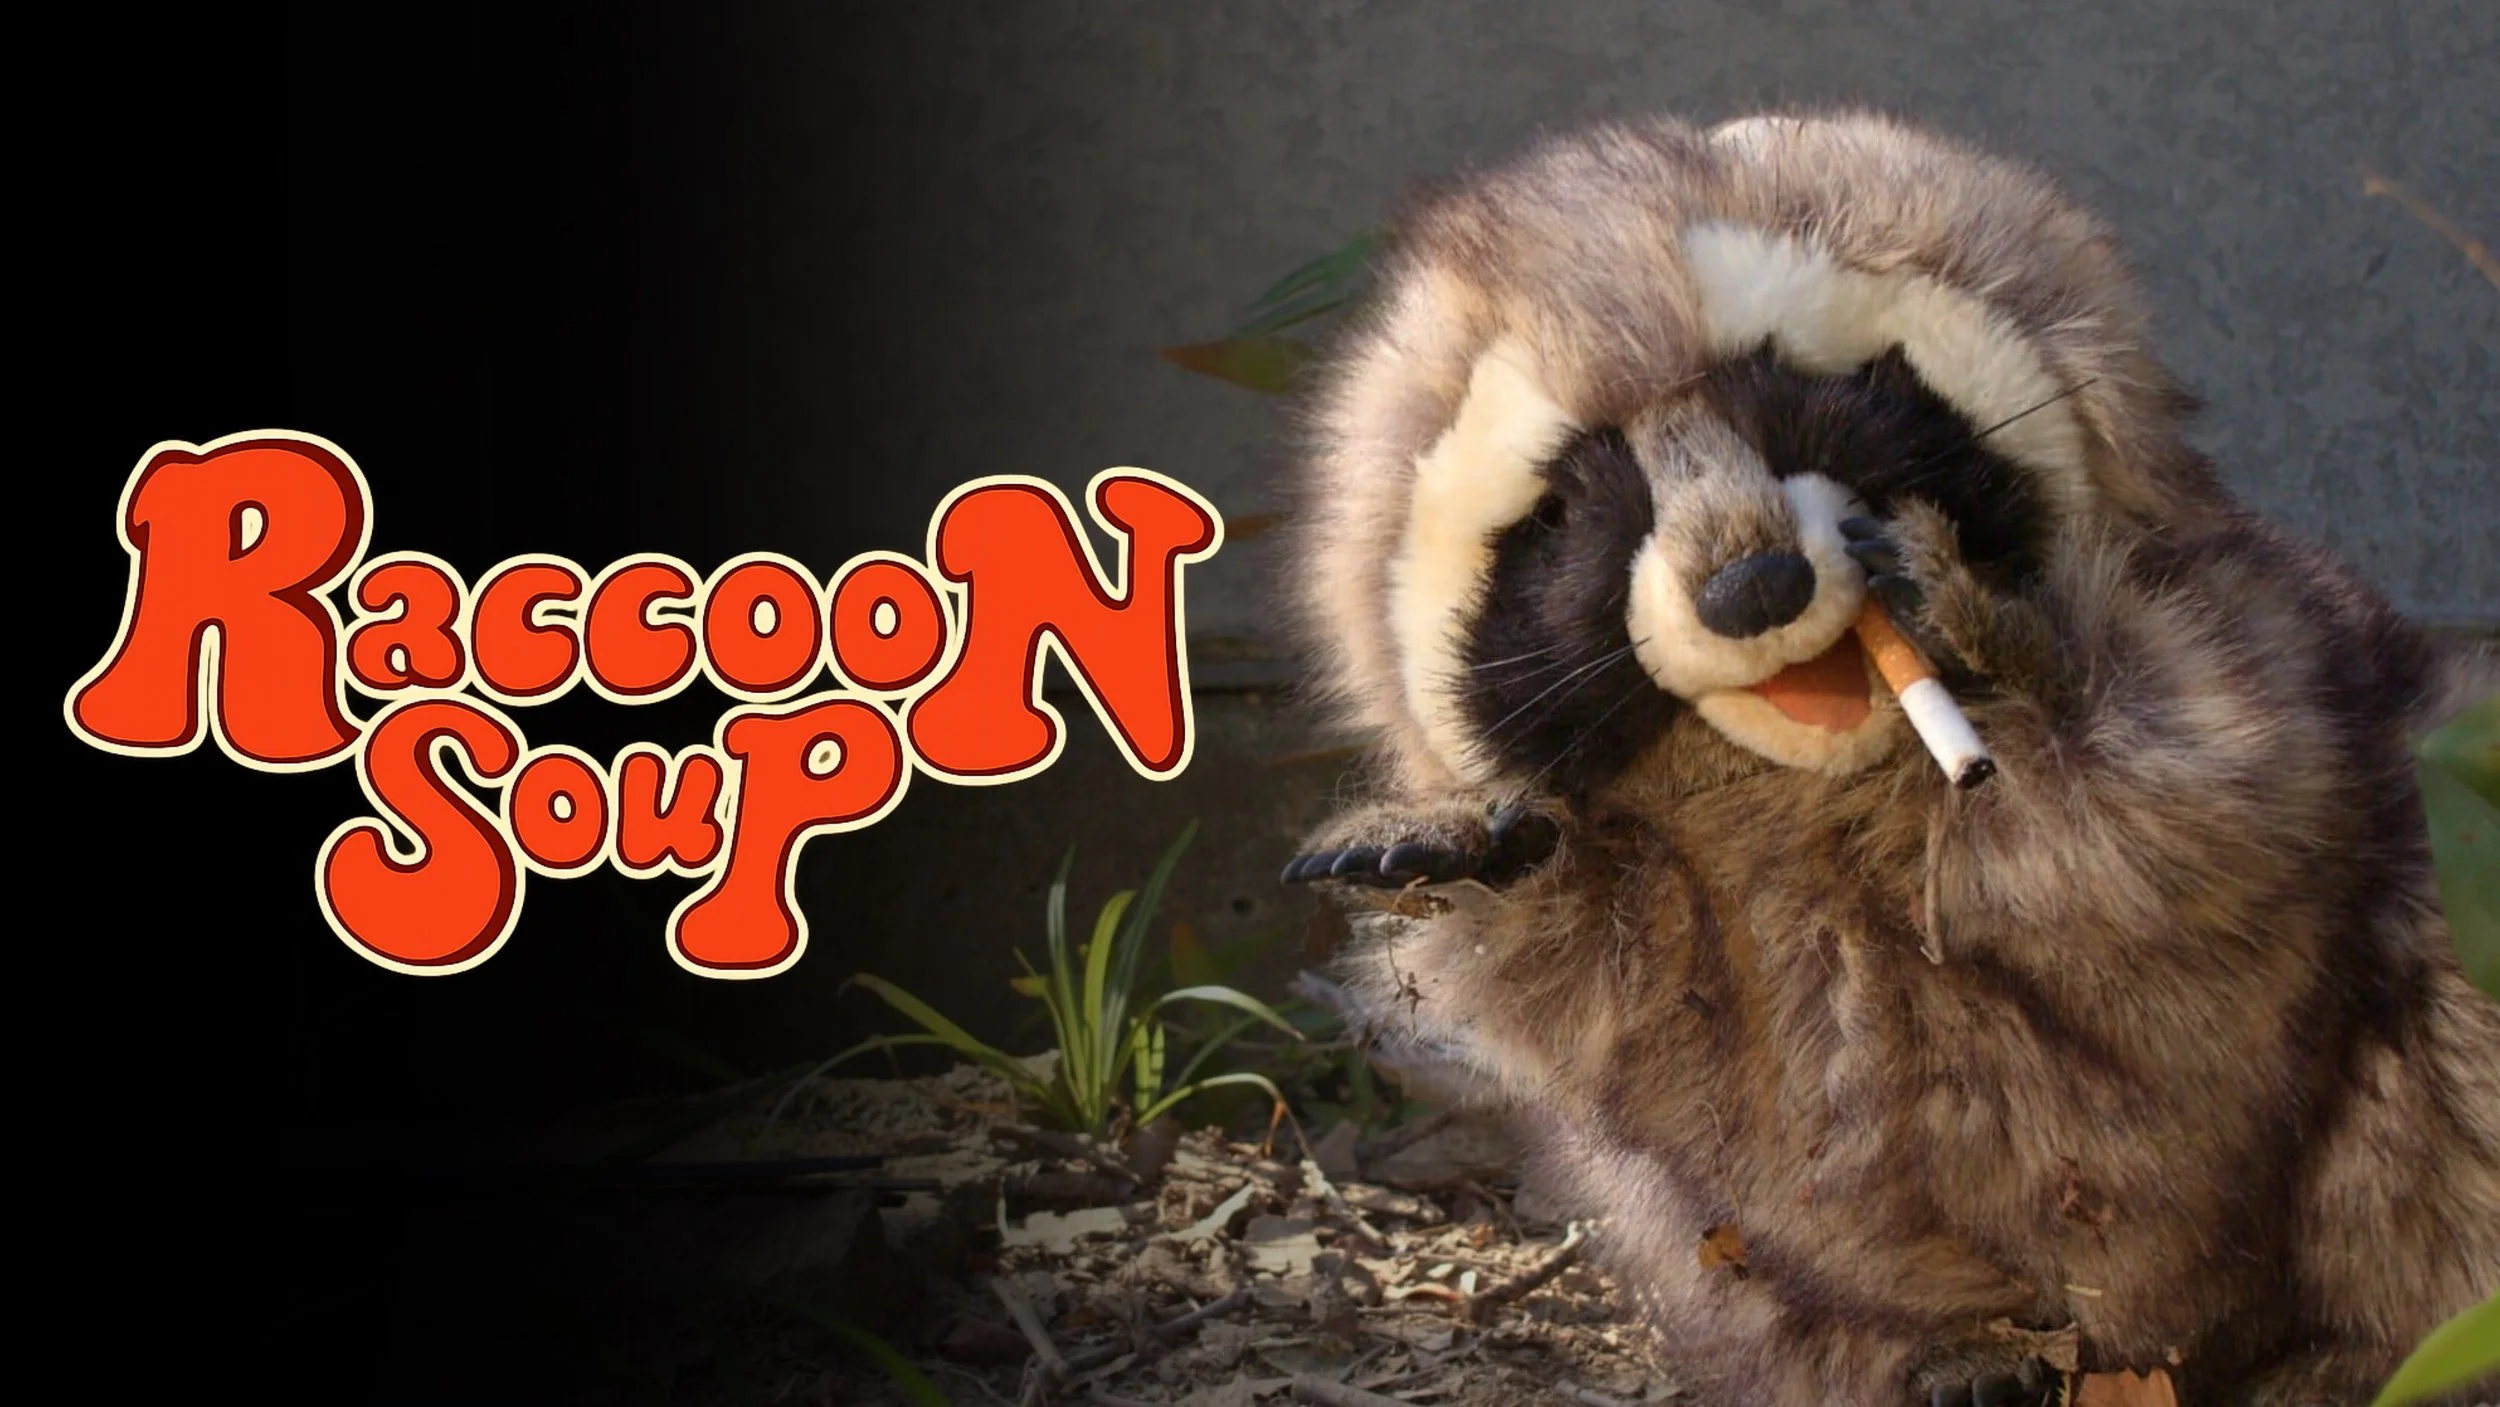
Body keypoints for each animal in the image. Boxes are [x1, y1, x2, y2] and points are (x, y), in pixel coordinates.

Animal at [1273, 110, 2500, 1406]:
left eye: (1791, 400)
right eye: (1570, 504)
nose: (1753, 587)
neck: (1808, 780)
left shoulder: (2257, 634)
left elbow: (2196, 805)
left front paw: (2008, 648)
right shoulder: (1687, 915)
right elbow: (1630, 998)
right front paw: (1487, 842)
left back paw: (2363, 1351)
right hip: (1739, 1243)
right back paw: (1944, 1350)